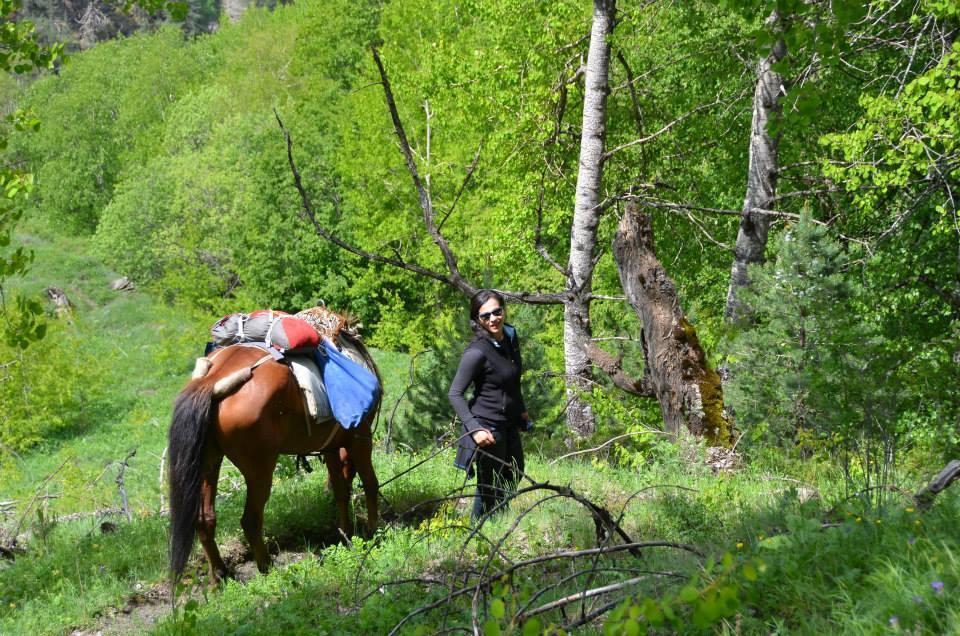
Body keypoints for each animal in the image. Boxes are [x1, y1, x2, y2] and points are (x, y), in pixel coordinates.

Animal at [165, 340, 378, 584]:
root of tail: (211, 382)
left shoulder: (331, 447)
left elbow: (340, 491)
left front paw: (346, 534)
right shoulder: (359, 438)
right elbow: (370, 483)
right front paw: (373, 531)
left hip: (208, 464)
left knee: (205, 519)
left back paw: (220, 575)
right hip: (260, 468)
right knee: (250, 520)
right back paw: (267, 568)